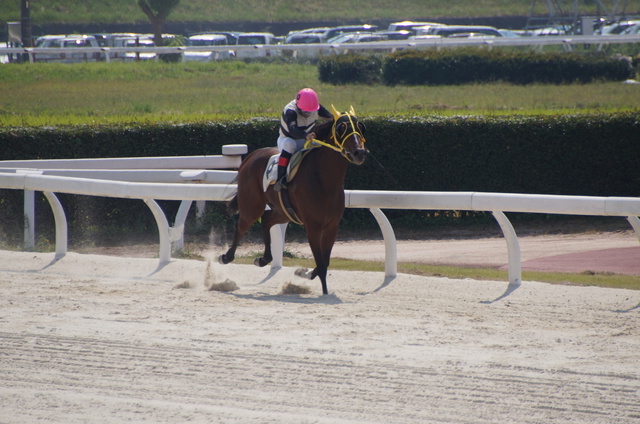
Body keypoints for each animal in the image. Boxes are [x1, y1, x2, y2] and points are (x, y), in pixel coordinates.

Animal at [219, 108, 368, 294]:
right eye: (342, 128)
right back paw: (226, 256)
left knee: (266, 220)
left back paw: (263, 259)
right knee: (241, 224)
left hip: (283, 212)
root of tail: (252, 156)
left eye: (360, 127)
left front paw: (308, 274)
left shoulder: (332, 226)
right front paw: (322, 290)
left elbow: (325, 262)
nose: (359, 152)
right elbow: (321, 263)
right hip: (252, 205)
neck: (324, 180)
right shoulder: (312, 227)